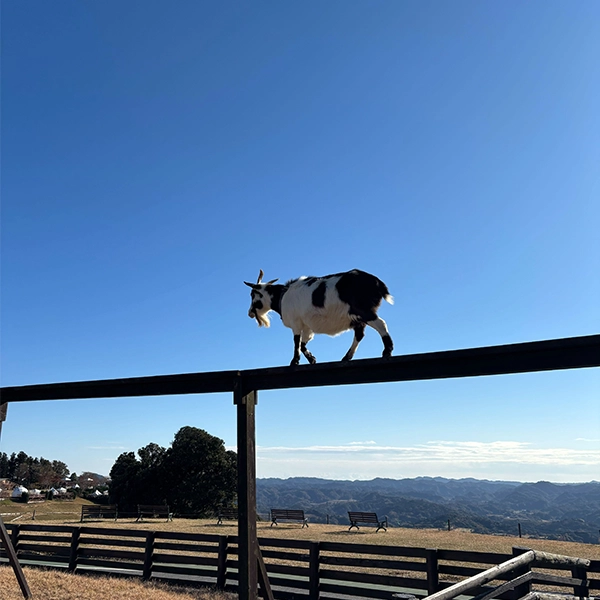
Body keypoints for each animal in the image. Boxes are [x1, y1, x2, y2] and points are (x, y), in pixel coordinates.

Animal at [244, 268, 394, 366]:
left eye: (252, 295)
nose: (250, 313)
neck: (282, 296)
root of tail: (377, 282)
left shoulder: (296, 322)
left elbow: (296, 341)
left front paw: (294, 362)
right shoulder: (308, 327)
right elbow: (303, 344)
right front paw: (312, 359)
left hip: (363, 311)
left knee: (380, 324)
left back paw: (387, 351)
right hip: (357, 317)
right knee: (359, 334)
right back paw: (346, 357)